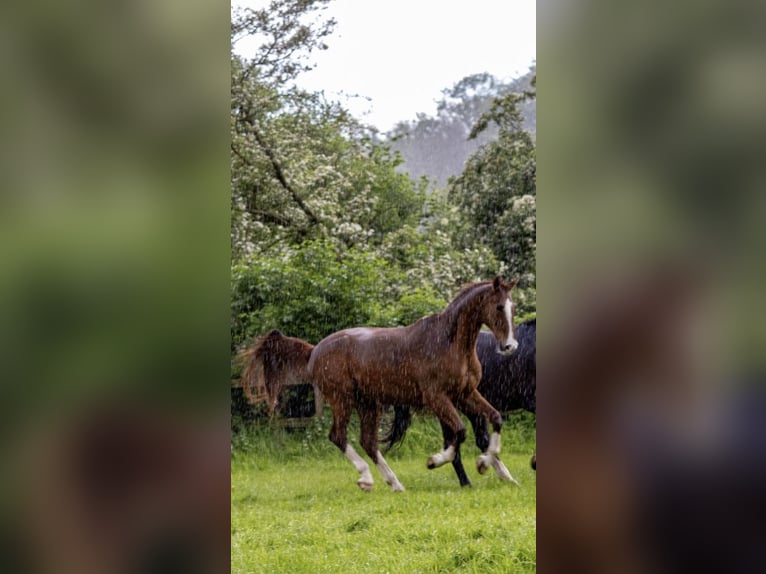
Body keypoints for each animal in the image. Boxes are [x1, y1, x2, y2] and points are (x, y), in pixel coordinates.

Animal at [242, 280, 520, 496]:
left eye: (512, 307)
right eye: (498, 307)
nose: (509, 346)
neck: (450, 343)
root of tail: (315, 351)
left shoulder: (465, 393)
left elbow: (495, 419)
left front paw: (490, 466)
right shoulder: (437, 398)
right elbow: (460, 432)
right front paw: (435, 461)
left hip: (369, 404)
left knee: (367, 441)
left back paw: (395, 483)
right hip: (342, 400)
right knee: (338, 436)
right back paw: (366, 479)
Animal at [388, 320, 536, 486]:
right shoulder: (530, 400)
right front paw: (534, 462)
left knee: (481, 440)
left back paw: (503, 476)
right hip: (446, 407)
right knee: (455, 443)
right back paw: (467, 481)